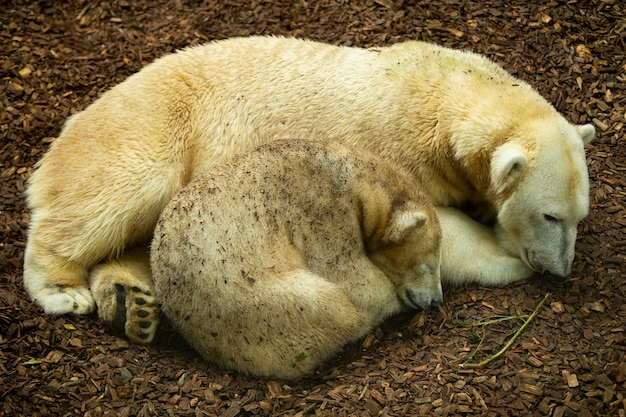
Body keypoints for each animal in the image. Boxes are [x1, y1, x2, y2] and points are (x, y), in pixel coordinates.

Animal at [22, 35, 592, 342]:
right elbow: (436, 227)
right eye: (550, 215)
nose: (561, 270)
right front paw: (506, 258)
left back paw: (130, 302)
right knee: (117, 192)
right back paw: (63, 290)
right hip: (149, 125)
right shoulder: (388, 149)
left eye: (577, 217)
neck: (441, 95)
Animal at [152, 140, 444, 376]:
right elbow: (351, 276)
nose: (437, 301)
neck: (348, 177)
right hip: (258, 305)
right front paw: (387, 299)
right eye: (428, 265)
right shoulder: (324, 213)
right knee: (324, 303)